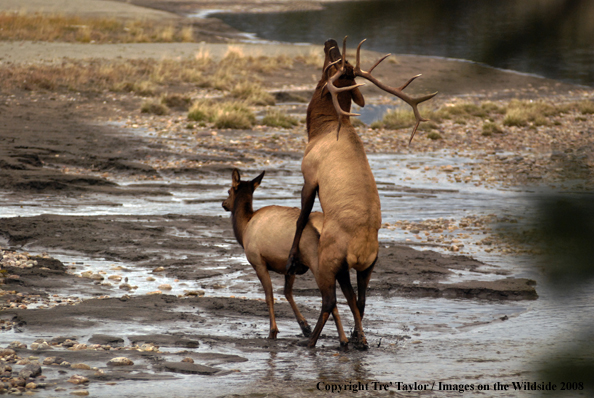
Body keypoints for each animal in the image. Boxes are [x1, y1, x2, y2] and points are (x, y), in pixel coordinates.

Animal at [222, 169, 346, 342]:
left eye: (229, 191)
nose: (224, 203)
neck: (244, 228)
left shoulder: (258, 261)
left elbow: (269, 295)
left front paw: (273, 331)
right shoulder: (291, 266)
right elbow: (287, 292)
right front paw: (304, 326)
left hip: (315, 260)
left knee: (329, 298)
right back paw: (346, 338)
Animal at [286, 37, 434, 348]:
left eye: (332, 65)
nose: (330, 41)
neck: (320, 129)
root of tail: (360, 249)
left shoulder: (309, 175)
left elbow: (301, 218)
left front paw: (291, 258)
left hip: (329, 259)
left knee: (330, 300)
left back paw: (311, 341)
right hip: (369, 264)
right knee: (361, 298)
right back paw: (358, 337)